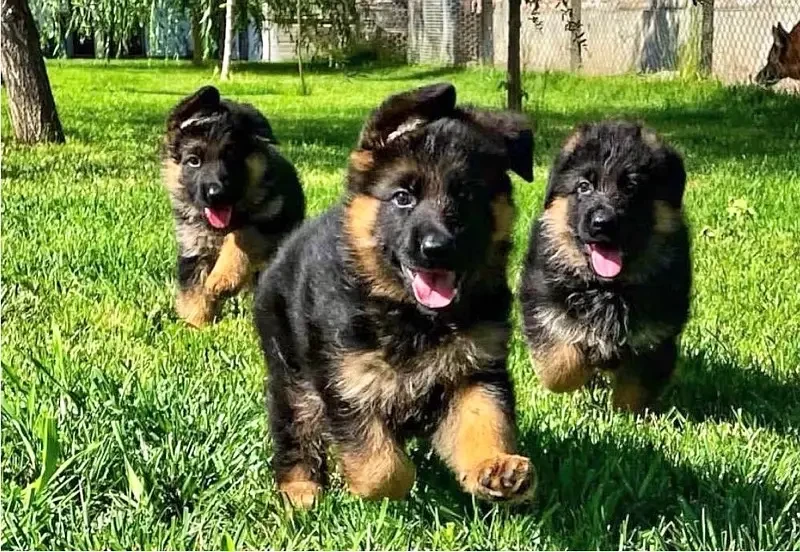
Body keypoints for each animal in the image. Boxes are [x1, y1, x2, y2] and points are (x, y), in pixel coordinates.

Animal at [162, 86, 304, 328]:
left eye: (232, 158)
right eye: (194, 161)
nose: (215, 194)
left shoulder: (270, 224)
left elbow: (242, 234)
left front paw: (223, 278)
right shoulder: (194, 246)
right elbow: (194, 291)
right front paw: (196, 326)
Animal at [253, 82, 536, 508]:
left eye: (467, 196)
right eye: (403, 197)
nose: (437, 248)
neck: (413, 317)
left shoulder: (476, 371)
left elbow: (483, 420)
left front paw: (493, 465)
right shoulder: (348, 384)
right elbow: (384, 467)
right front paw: (372, 488)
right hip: (291, 374)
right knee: (295, 429)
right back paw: (300, 490)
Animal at [520, 122, 692, 414]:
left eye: (632, 187)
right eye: (584, 186)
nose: (602, 223)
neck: (607, 288)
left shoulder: (654, 335)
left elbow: (635, 389)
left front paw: (626, 416)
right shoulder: (544, 308)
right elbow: (561, 365)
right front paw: (578, 373)